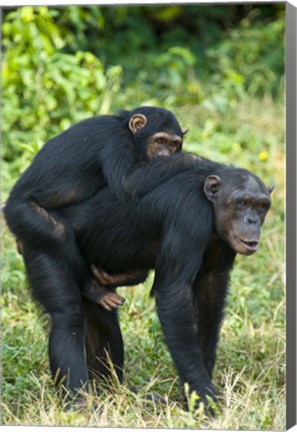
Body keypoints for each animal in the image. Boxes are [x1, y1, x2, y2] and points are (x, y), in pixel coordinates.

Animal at [4, 107, 187, 310]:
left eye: (173, 144)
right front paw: (195, 161)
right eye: (160, 141)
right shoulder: (118, 141)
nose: (166, 154)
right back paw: (93, 289)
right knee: (59, 235)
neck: (132, 136)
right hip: (21, 212)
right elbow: (127, 182)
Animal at [13, 154, 272, 410]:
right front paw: (203, 396)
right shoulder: (189, 212)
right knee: (68, 317)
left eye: (261, 206)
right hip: (41, 242)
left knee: (101, 322)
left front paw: (193, 395)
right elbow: (174, 292)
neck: (211, 205)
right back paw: (80, 405)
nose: (251, 220)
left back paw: (110, 394)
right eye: (242, 202)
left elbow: (211, 290)